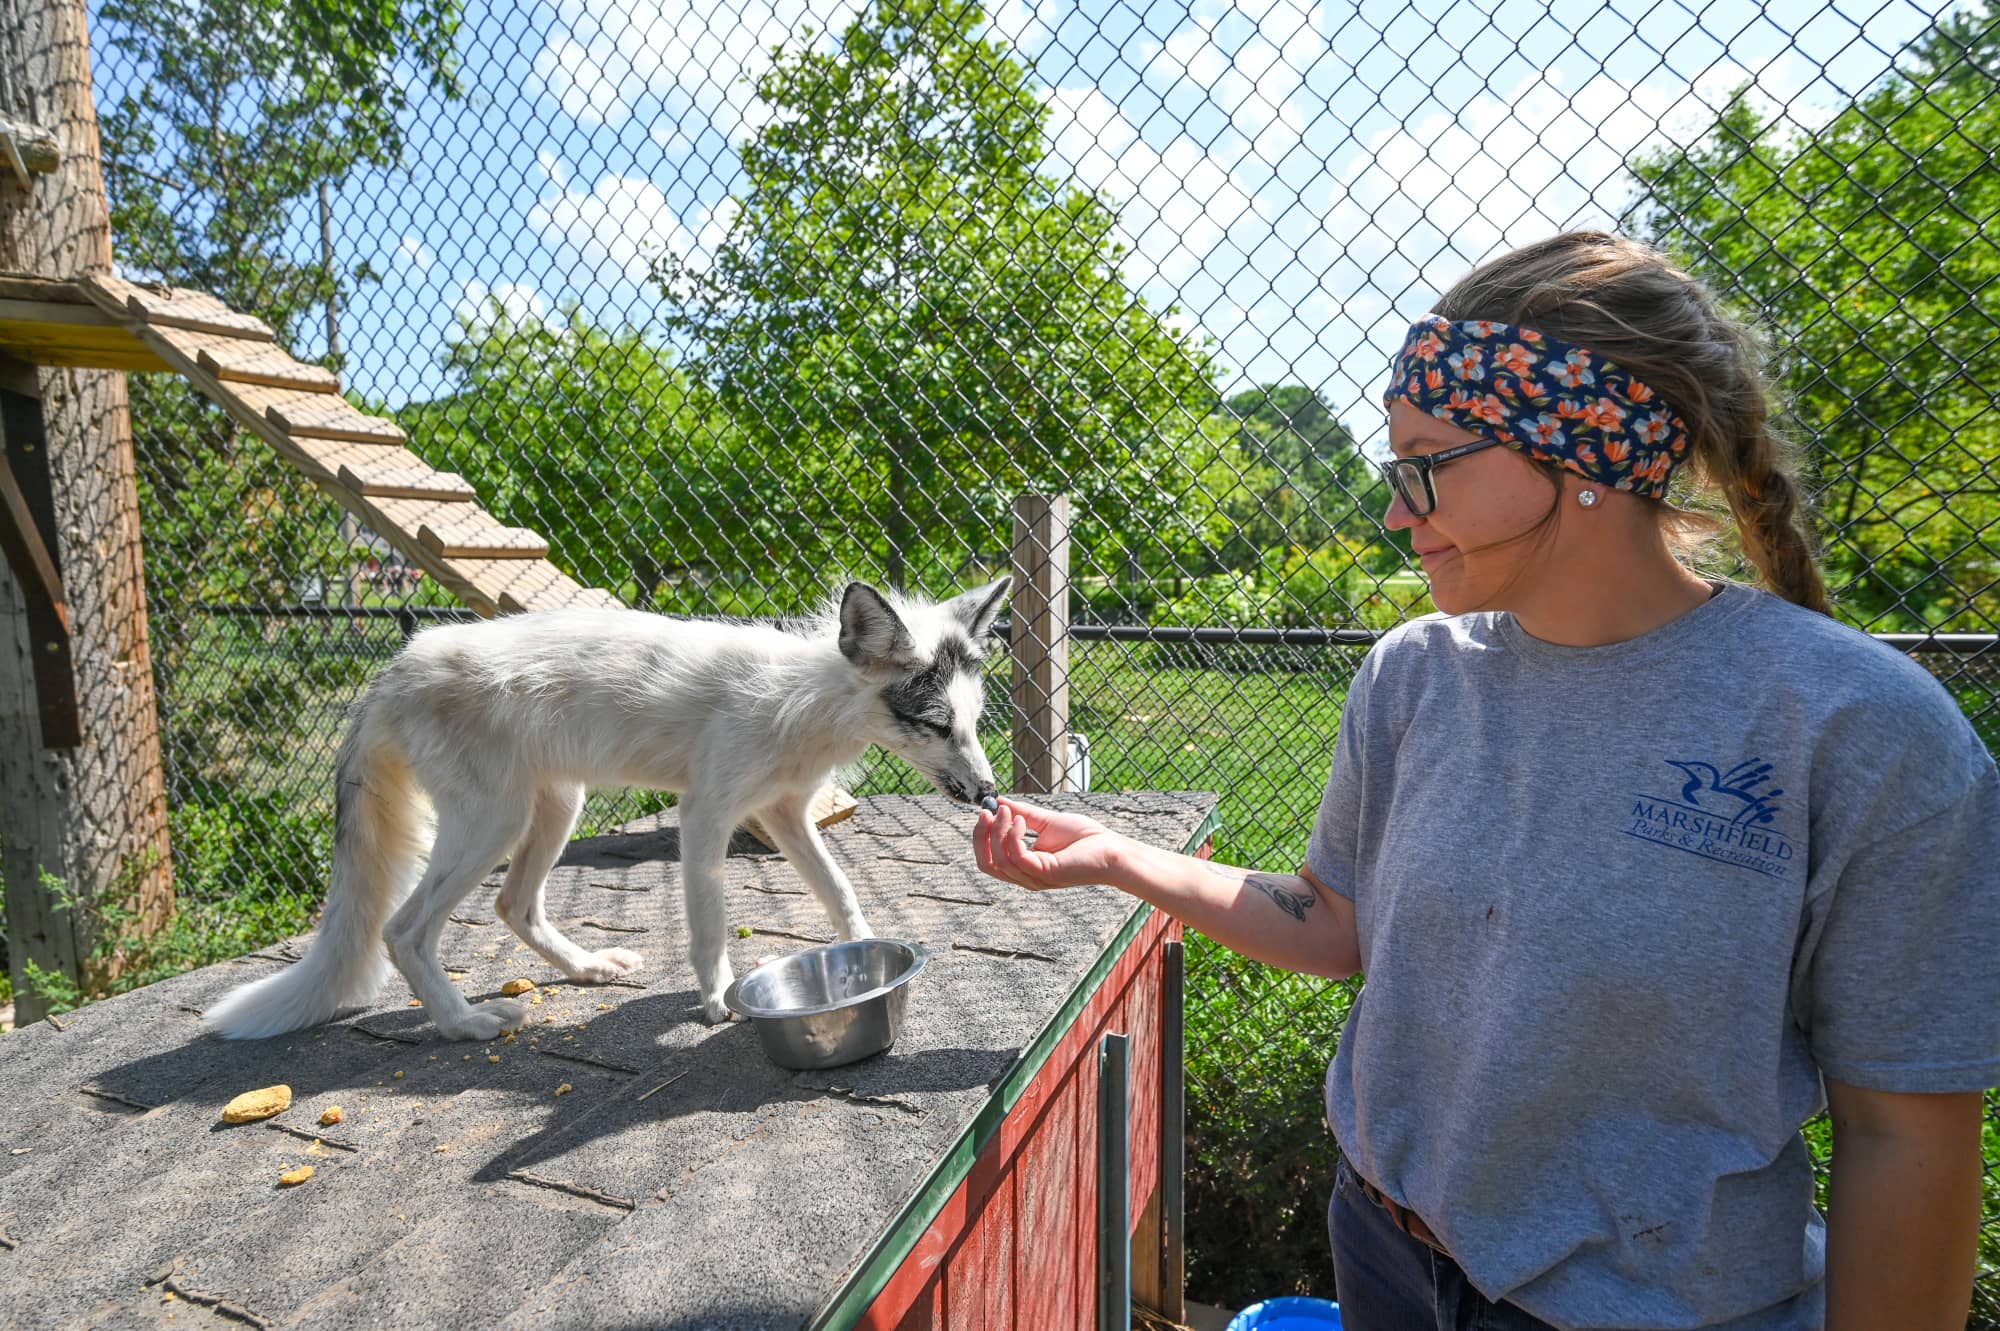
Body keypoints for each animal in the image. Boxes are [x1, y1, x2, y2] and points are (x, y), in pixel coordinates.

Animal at [207, 579, 1000, 1039]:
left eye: (974, 722)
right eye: (934, 724)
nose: (987, 794)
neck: (801, 703)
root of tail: (395, 665)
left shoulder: (785, 815)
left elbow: (840, 893)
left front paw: (870, 956)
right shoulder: (706, 815)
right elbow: (709, 928)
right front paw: (717, 1001)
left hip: (554, 809)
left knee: (513, 906)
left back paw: (586, 969)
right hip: (491, 823)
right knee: (402, 931)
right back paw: (465, 1024)